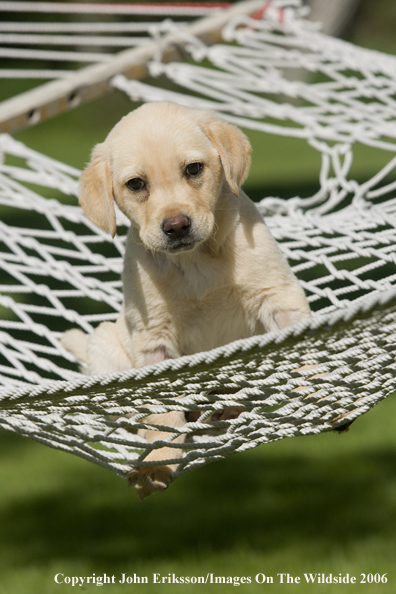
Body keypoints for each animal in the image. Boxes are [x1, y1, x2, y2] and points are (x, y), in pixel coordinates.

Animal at [62, 103, 310, 500]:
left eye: (193, 169)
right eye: (136, 184)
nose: (176, 226)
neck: (196, 260)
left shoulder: (278, 297)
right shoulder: (154, 339)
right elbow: (161, 414)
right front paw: (158, 461)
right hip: (104, 342)